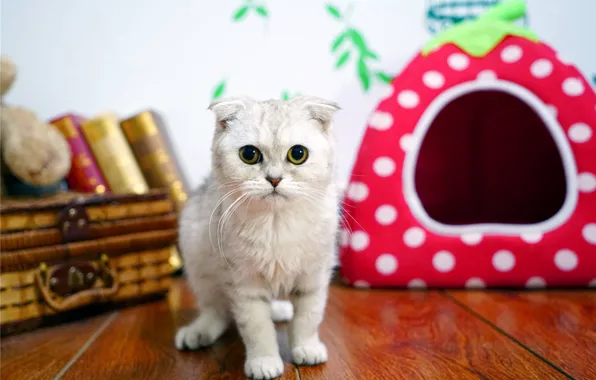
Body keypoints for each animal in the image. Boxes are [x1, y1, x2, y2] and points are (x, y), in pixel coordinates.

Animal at [176, 93, 340, 378]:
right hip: (198, 264)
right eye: (249, 155)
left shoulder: (314, 277)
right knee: (216, 312)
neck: (276, 222)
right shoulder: (245, 284)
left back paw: (281, 310)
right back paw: (198, 333)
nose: (274, 179)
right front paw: (264, 362)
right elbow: (257, 328)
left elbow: (308, 318)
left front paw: (306, 348)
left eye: (298, 154)